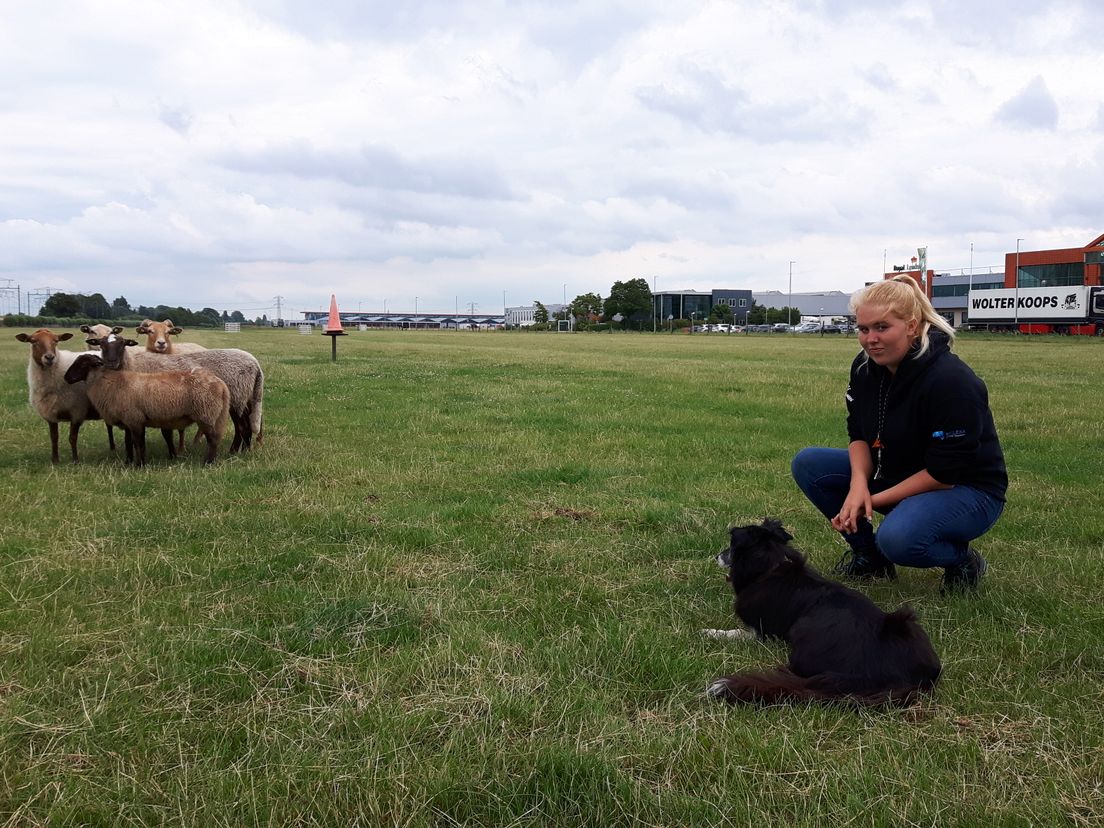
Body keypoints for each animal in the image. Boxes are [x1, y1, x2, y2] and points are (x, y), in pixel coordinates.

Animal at [15, 326, 101, 463]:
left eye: (56, 341)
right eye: (33, 341)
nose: (49, 357)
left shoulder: (77, 411)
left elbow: (72, 438)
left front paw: (75, 460)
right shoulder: (50, 413)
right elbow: (54, 437)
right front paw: (55, 460)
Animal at [63, 335, 229, 468]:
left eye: (83, 364)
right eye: (102, 344)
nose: (66, 378)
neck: (110, 382)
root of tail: (221, 384)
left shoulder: (135, 419)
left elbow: (139, 444)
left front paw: (139, 465)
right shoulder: (134, 421)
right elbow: (133, 443)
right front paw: (133, 463)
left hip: (206, 414)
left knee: (213, 439)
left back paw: (207, 463)